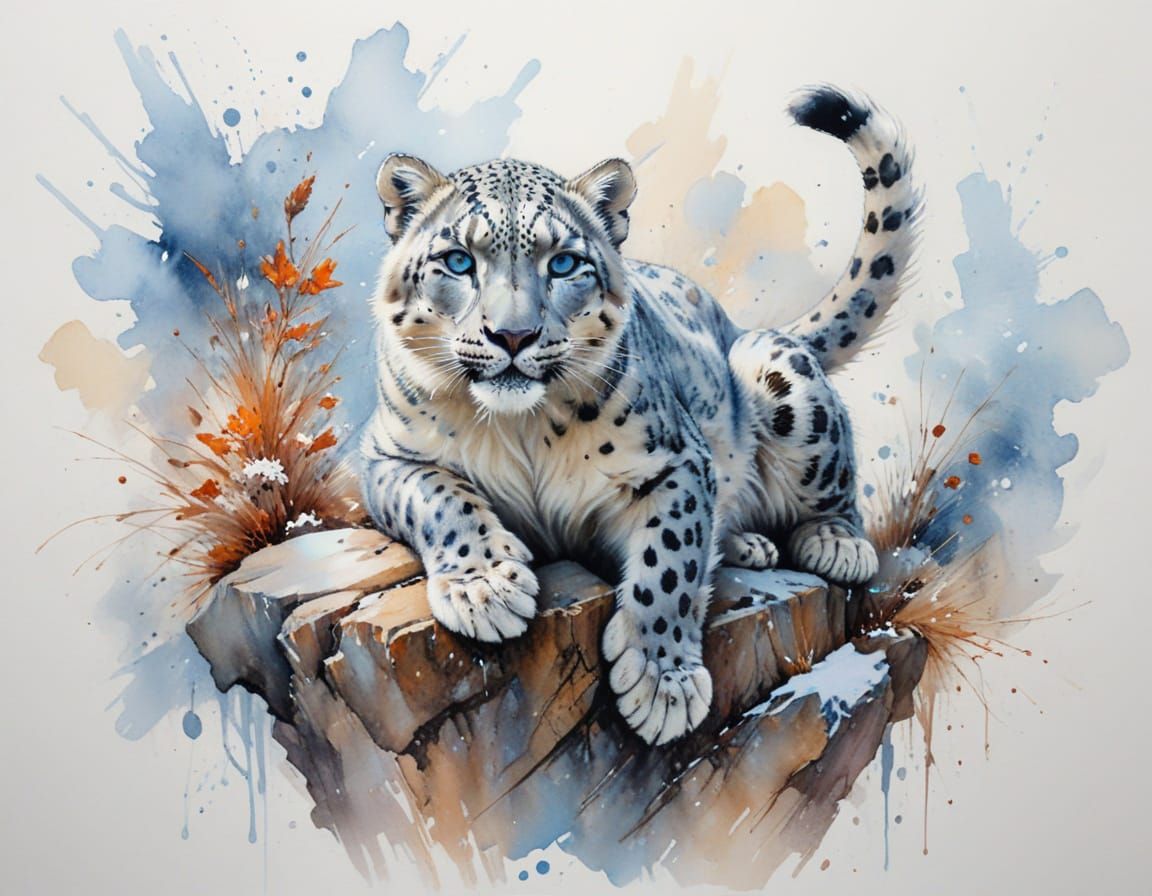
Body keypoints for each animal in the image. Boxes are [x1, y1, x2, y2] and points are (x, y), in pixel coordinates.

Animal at [361, 86, 921, 745]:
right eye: (457, 261)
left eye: (563, 264)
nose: (514, 335)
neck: (520, 428)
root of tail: (734, 320)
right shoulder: (386, 456)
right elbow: (440, 499)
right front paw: (486, 587)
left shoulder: (678, 461)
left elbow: (669, 560)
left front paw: (662, 683)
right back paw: (751, 543)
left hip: (776, 371)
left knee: (833, 490)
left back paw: (835, 543)